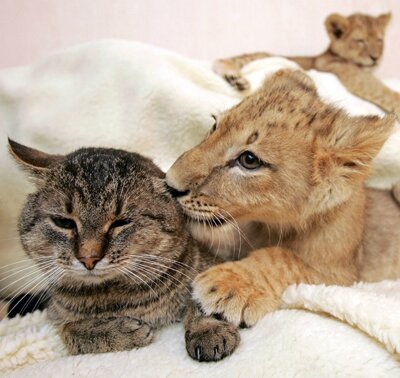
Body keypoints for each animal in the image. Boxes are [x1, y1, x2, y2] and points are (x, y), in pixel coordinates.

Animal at [9, 140, 239, 360]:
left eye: (121, 222)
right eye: (64, 222)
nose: (89, 258)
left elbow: (206, 298)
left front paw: (208, 329)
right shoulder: (56, 315)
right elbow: (70, 331)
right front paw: (117, 331)